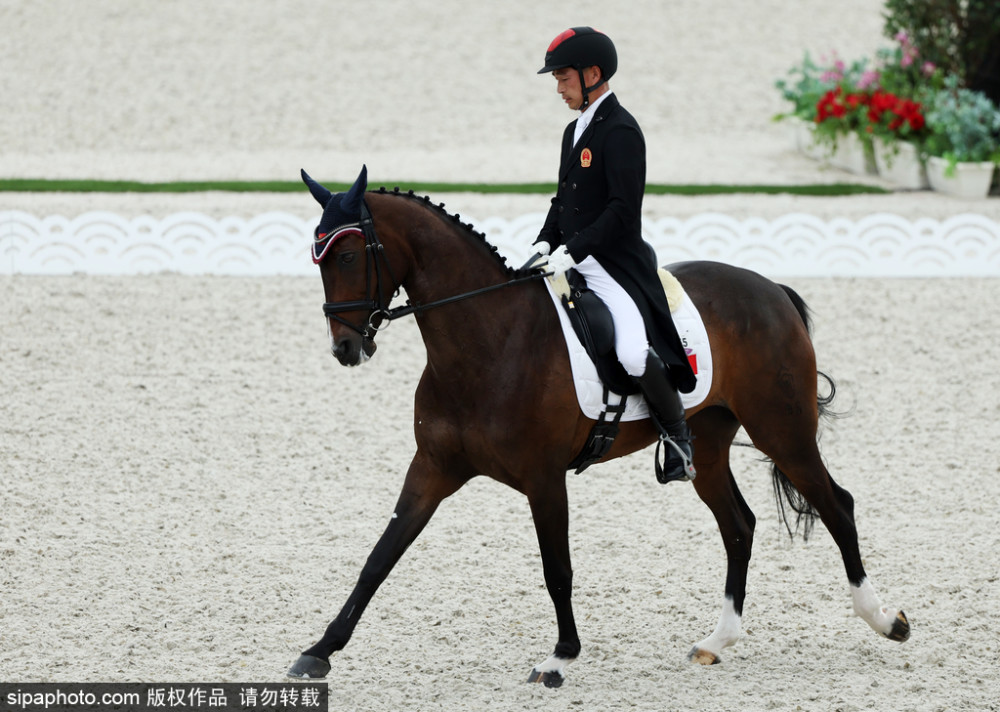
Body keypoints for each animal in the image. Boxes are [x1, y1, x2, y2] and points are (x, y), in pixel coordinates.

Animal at [286, 164, 912, 688]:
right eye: (318, 260)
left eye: (347, 258)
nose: (346, 349)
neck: (489, 339)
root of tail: (769, 289)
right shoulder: (433, 468)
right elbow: (379, 558)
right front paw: (319, 651)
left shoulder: (544, 479)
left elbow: (556, 569)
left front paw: (559, 657)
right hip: (709, 445)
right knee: (740, 526)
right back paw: (717, 641)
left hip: (782, 431)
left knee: (836, 506)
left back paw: (885, 620)